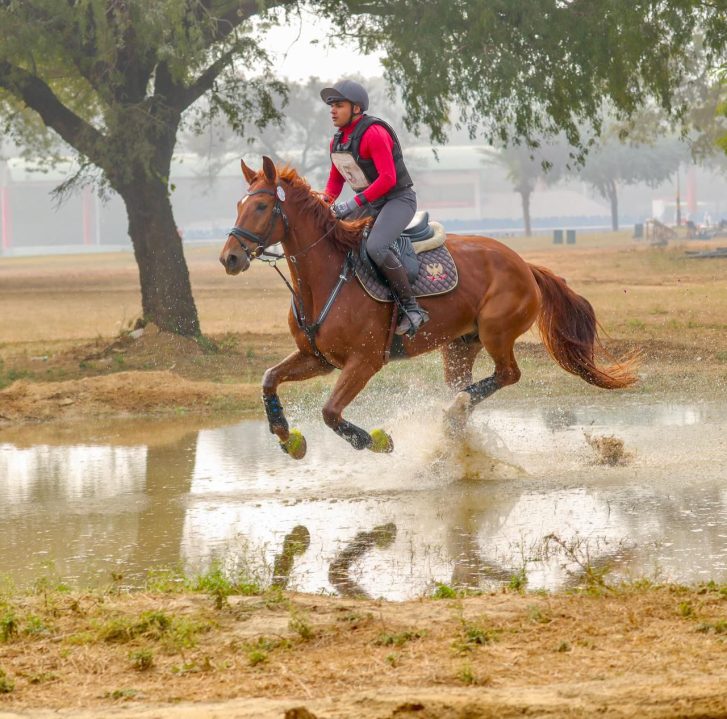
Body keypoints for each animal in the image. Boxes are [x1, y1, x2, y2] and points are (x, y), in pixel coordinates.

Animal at [219, 156, 638, 459]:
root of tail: (524, 265)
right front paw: (286, 436)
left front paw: (376, 440)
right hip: (460, 346)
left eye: (261, 206)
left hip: (496, 331)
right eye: (237, 204)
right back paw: (454, 423)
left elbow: (330, 412)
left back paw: (453, 412)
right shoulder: (318, 358)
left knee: (508, 374)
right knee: (471, 384)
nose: (229, 258)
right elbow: (269, 378)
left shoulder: (364, 361)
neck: (325, 278)